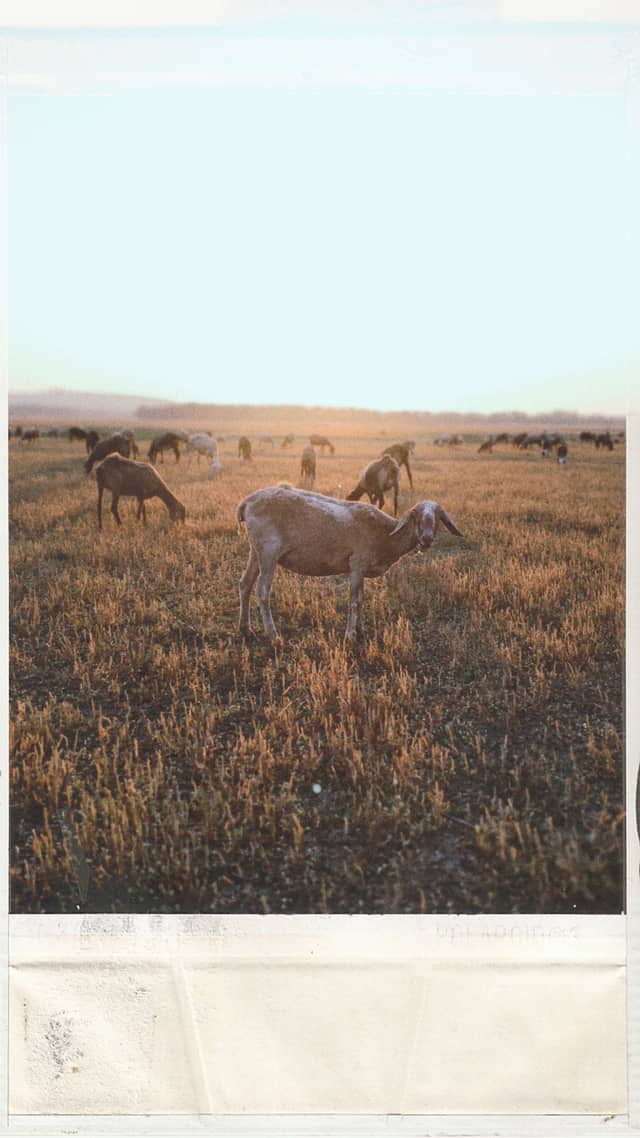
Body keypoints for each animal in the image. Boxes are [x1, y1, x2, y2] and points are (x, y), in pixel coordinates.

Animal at [237, 486, 463, 643]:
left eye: (438, 518)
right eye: (415, 516)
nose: (426, 540)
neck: (386, 535)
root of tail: (247, 502)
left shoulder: (362, 570)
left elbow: (362, 599)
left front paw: (360, 630)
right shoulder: (356, 564)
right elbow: (355, 600)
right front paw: (351, 636)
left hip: (255, 551)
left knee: (245, 584)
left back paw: (246, 630)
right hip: (268, 551)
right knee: (262, 591)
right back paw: (273, 635)